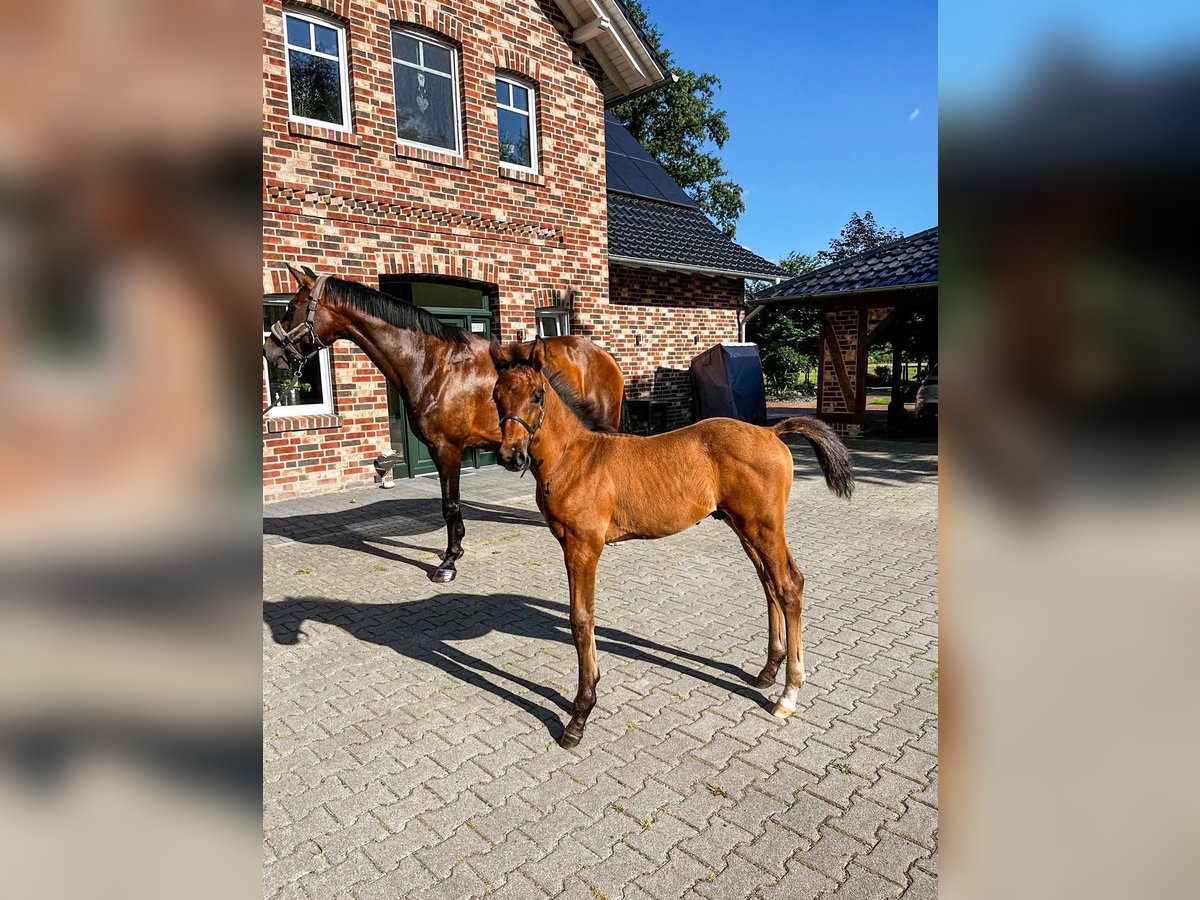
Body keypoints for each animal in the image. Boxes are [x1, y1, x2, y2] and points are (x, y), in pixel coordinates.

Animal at [263, 265, 624, 583]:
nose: (271, 350)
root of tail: (604, 356)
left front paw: (449, 561)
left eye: (291, 307)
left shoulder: (447, 447)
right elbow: (449, 504)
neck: (434, 364)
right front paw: (453, 551)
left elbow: (450, 504)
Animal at [489, 337, 854, 747]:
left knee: (789, 584)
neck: (576, 457)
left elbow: (581, 619)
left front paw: (579, 715)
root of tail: (772, 432)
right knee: (769, 583)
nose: (510, 455)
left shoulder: (583, 546)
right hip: (743, 526)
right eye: (496, 395)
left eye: (538, 395)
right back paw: (768, 672)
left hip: (764, 526)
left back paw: (788, 694)